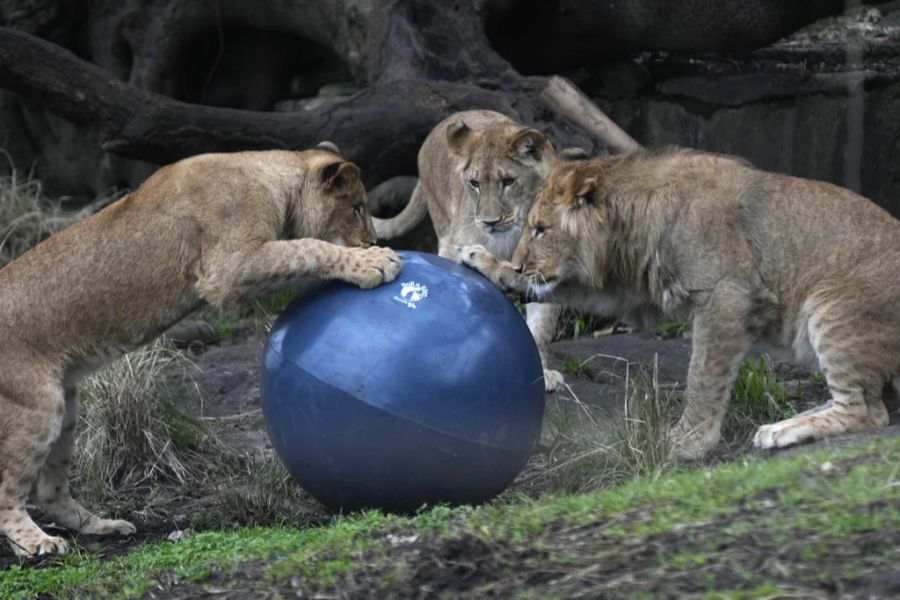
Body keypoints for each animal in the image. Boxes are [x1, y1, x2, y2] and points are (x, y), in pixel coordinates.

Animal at [0, 143, 400, 556]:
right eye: (357, 207)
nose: (371, 242)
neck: (272, 176)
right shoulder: (227, 267)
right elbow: (308, 248)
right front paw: (374, 262)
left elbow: (303, 249)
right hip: (37, 405)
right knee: (7, 492)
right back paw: (36, 543)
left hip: (67, 407)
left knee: (49, 491)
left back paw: (102, 526)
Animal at [372, 109, 584, 392]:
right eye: (475, 183)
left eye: (508, 181)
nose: (489, 222)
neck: (514, 232)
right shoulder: (455, 247)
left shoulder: (547, 267)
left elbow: (542, 327)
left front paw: (542, 375)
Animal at [458, 149, 900, 460]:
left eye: (540, 229)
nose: (519, 262)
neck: (629, 226)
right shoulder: (631, 288)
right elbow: (564, 288)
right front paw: (484, 262)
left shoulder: (726, 296)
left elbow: (703, 376)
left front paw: (689, 442)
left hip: (833, 310)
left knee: (869, 411)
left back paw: (781, 431)